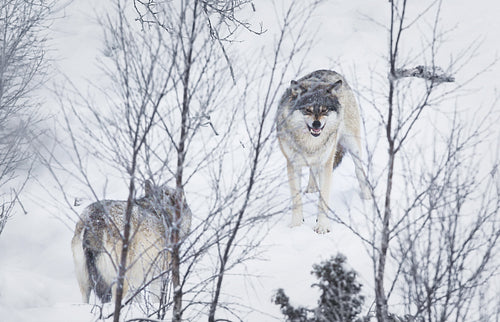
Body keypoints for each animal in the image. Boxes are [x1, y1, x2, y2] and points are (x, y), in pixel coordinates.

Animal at [278, 69, 372, 233]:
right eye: (307, 110)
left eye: (325, 109)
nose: (316, 124)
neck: (310, 143)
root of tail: (331, 72)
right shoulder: (293, 165)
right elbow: (296, 199)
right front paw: (296, 225)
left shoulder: (326, 165)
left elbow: (323, 200)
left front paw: (322, 226)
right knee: (312, 171)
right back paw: (311, 189)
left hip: (352, 145)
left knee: (359, 170)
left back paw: (366, 197)